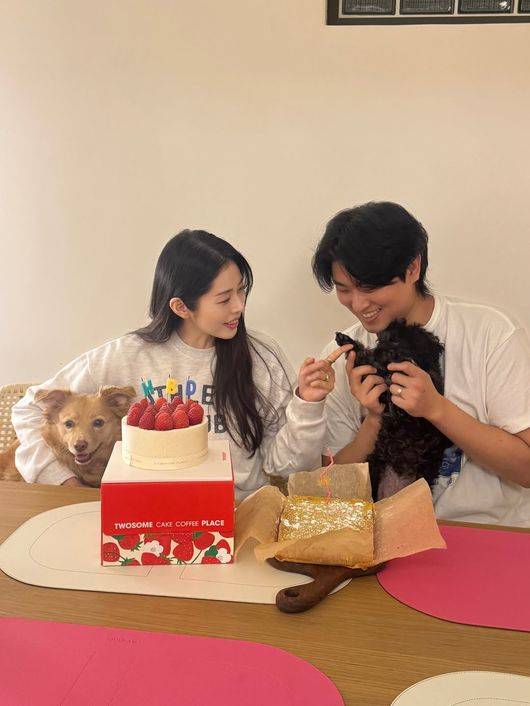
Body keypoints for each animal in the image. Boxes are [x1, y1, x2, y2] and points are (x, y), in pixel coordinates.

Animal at [336, 320, 452, 500]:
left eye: (395, 341)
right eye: (380, 341)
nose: (377, 352)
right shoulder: (381, 389)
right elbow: (367, 363)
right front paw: (346, 341)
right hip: (373, 466)